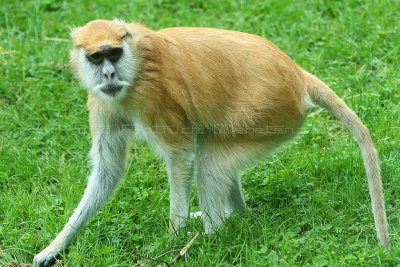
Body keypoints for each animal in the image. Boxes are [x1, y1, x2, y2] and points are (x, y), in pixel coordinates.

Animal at [32, 19, 390, 267]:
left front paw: (173, 241)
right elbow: (108, 171)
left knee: (210, 162)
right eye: (96, 58)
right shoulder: (102, 102)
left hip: (271, 114)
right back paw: (232, 216)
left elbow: (181, 154)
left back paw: (210, 235)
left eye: (114, 54)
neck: (133, 67)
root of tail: (297, 74)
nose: (107, 75)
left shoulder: (151, 99)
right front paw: (53, 248)